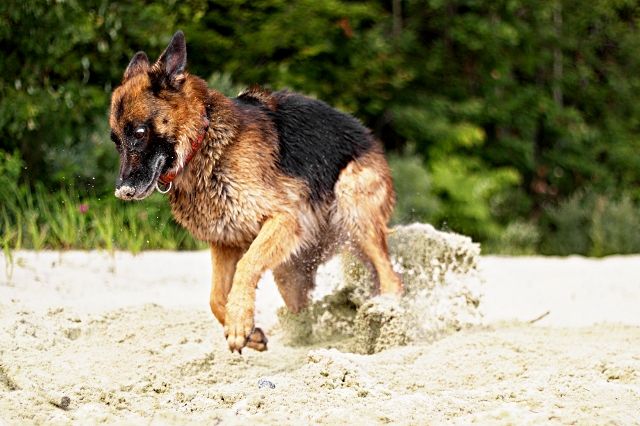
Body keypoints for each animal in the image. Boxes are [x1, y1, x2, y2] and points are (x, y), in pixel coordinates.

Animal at [109, 31, 402, 353]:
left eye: (139, 134)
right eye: (115, 141)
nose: (122, 191)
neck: (205, 140)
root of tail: (370, 138)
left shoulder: (283, 219)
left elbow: (247, 265)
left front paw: (239, 322)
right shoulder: (225, 242)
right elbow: (215, 298)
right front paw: (249, 332)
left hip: (352, 207)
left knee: (392, 279)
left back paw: (386, 315)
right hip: (290, 270)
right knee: (304, 310)